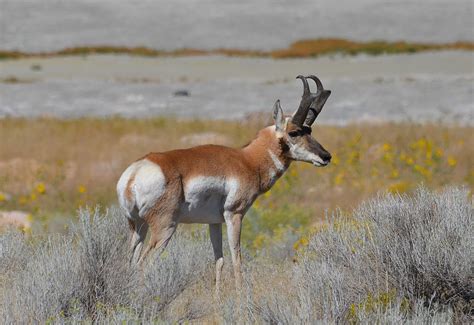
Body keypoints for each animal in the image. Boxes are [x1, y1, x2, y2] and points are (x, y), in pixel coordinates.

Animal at [117, 74, 334, 290]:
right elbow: (237, 260)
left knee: (130, 262)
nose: (326, 156)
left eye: (310, 130)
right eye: (294, 132)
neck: (248, 160)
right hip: (165, 228)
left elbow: (219, 261)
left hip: (138, 227)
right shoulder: (234, 215)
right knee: (143, 264)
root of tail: (134, 174)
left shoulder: (214, 222)